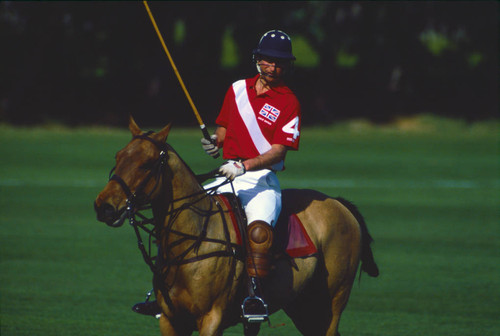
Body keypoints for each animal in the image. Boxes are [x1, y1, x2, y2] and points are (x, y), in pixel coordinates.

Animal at [94, 117, 376, 334]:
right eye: (118, 156)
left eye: (147, 164)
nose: (103, 207)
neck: (193, 238)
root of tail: (339, 203)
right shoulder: (171, 320)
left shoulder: (211, 318)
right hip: (300, 304)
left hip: (331, 302)